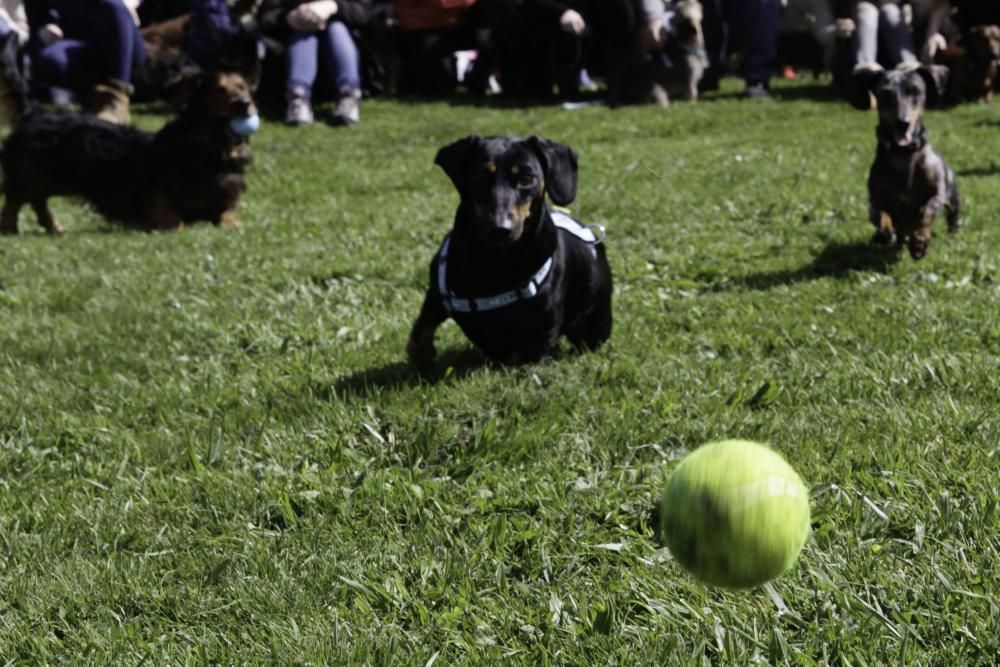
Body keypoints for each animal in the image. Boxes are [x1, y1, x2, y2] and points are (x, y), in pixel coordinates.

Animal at [404, 135, 608, 366]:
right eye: (480, 176)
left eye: (527, 179)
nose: (500, 229)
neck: (497, 260)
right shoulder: (437, 292)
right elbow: (419, 334)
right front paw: (424, 355)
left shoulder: (538, 335)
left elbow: (520, 354)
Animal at [852, 64, 960, 260]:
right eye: (885, 93)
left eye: (916, 91)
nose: (902, 123)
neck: (903, 155)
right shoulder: (874, 201)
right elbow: (880, 213)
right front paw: (884, 231)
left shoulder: (937, 195)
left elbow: (927, 211)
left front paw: (920, 240)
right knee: (900, 234)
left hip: (953, 200)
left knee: (953, 217)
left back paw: (952, 234)